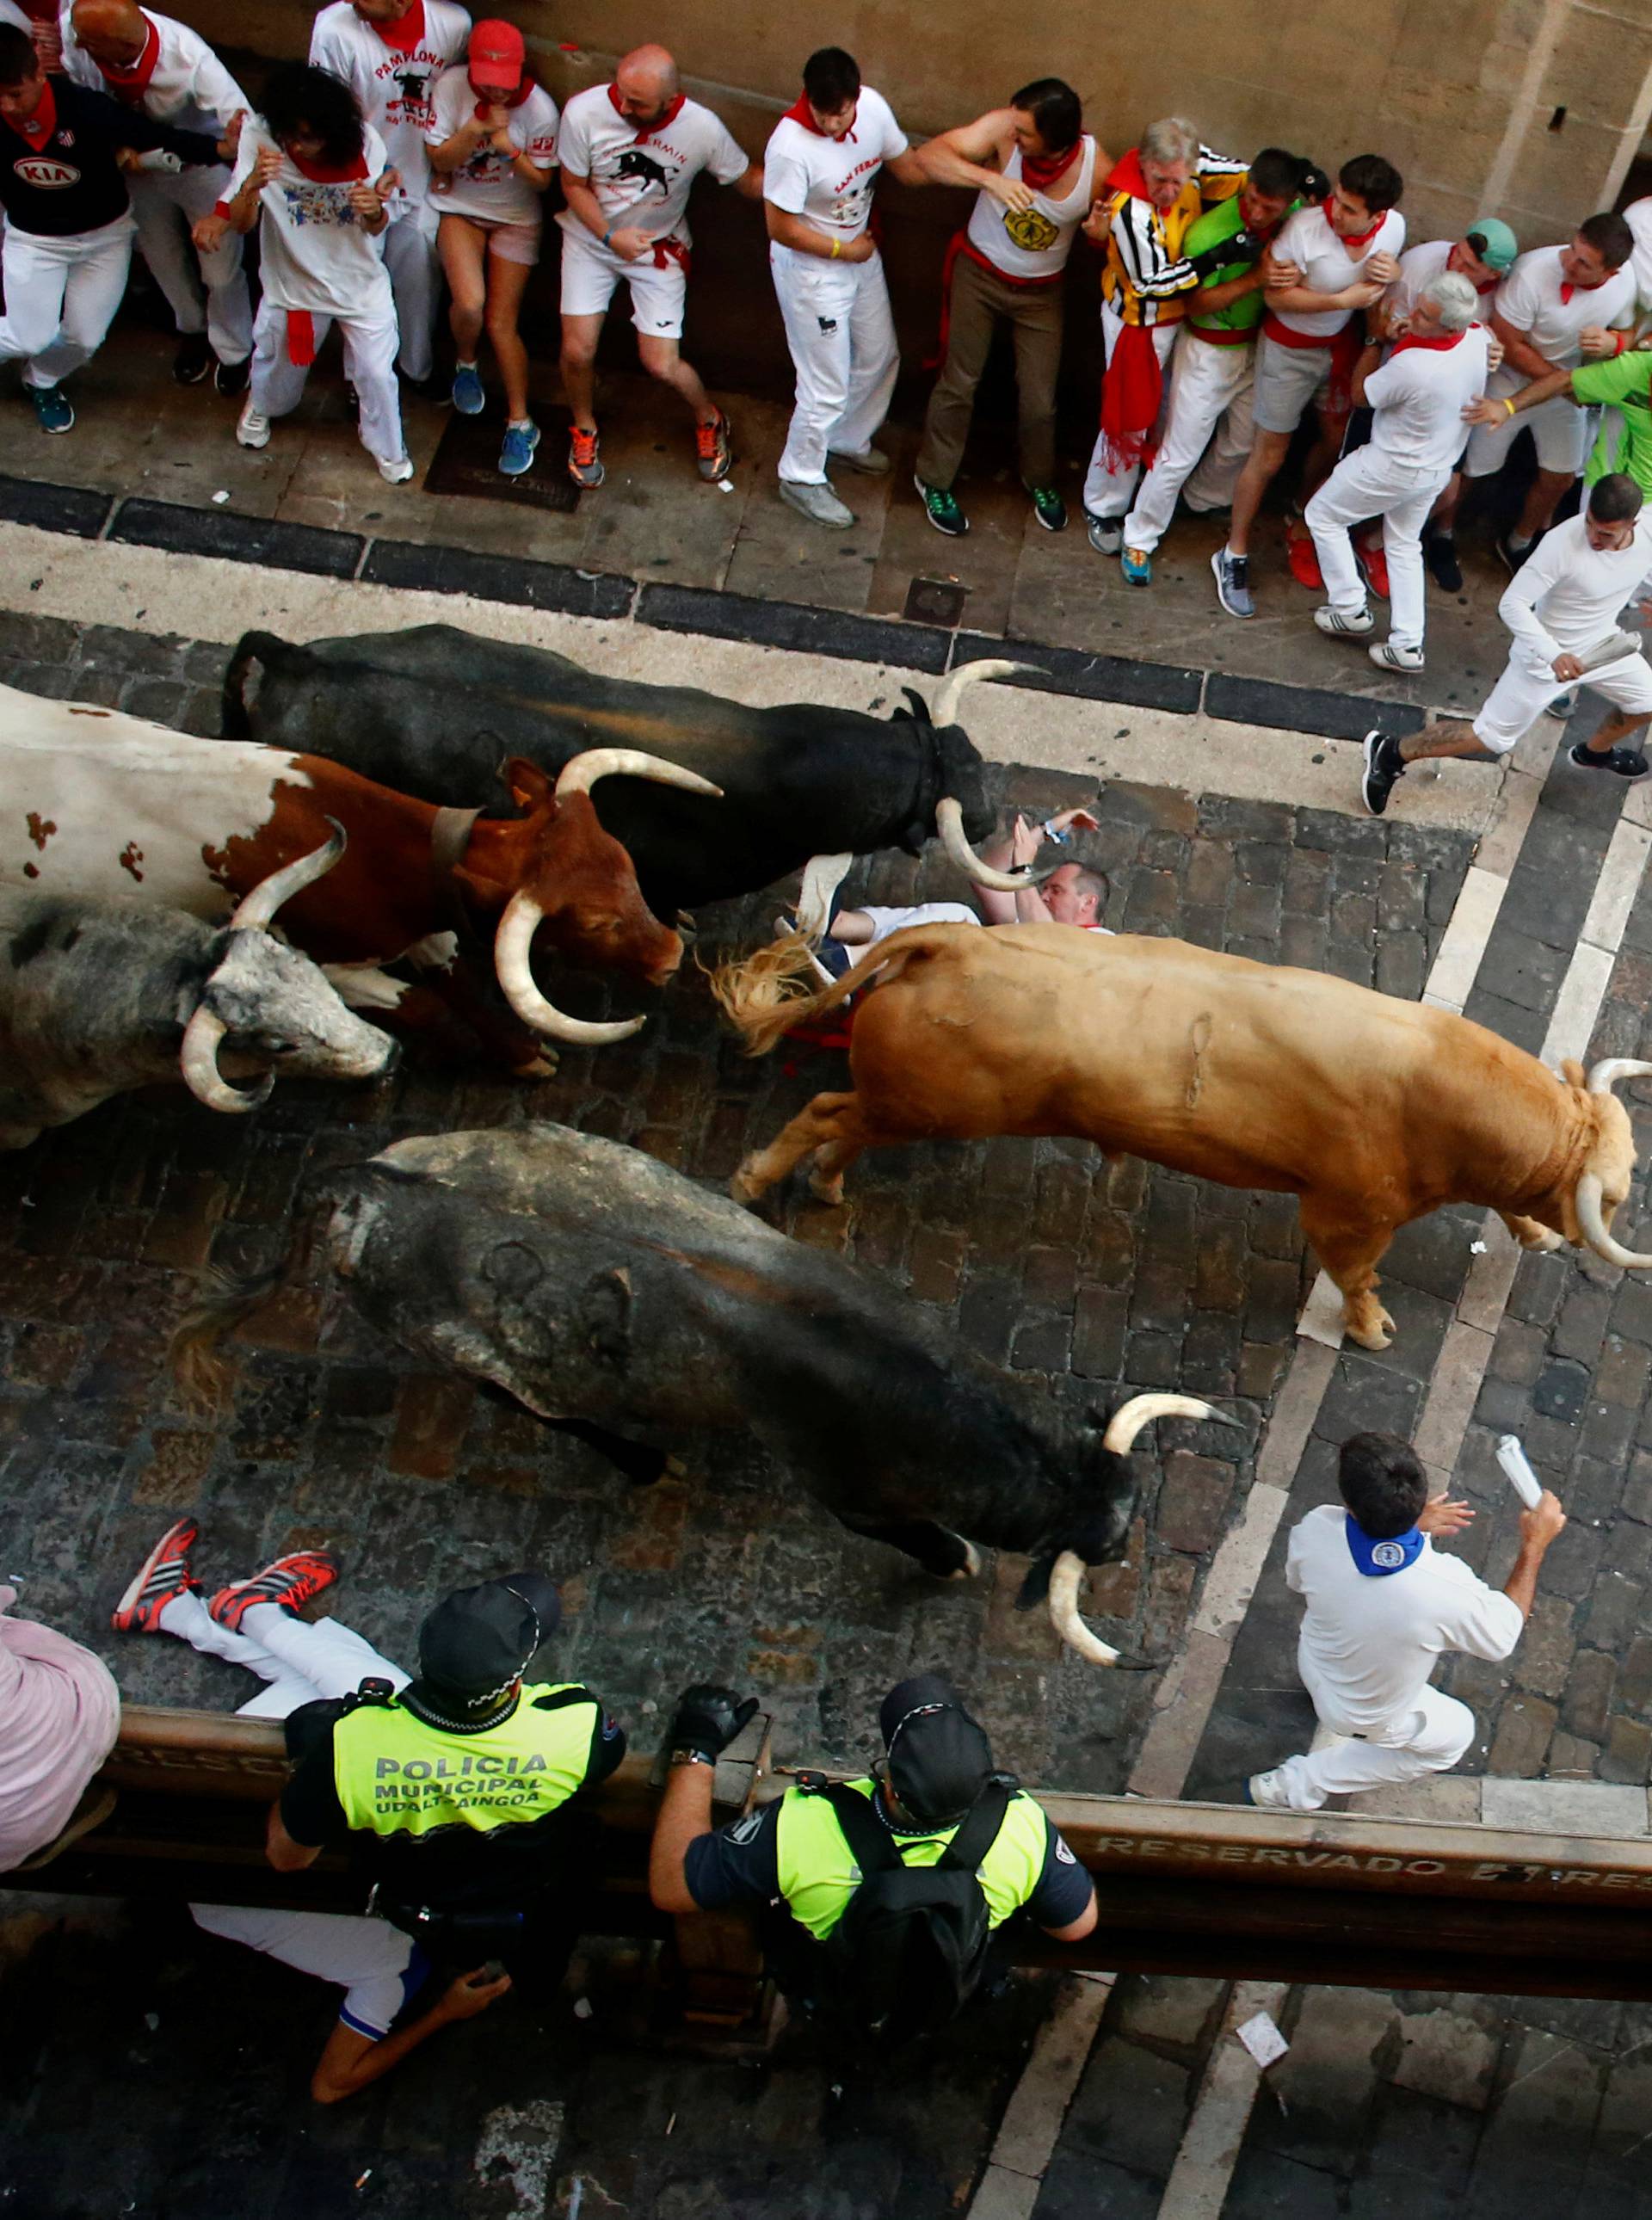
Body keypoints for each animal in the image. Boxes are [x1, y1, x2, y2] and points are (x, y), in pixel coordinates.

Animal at [3, 688, 719, 1078]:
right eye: (594, 923)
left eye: (627, 866)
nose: (671, 954)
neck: (374, 851)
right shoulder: (330, 967)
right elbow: (423, 1004)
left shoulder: (426, 927)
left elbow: (458, 980)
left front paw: (519, 1054)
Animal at [177, 1127, 1243, 1669]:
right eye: (1101, 1549)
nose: (1125, 1553)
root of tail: (358, 1186)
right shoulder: (851, 1495)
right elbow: (927, 1541)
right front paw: (959, 1562)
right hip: (480, 1363)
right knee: (540, 1407)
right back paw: (646, 1459)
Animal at [714, 923, 1652, 1349]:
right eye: (1612, 1195)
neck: (1432, 1086)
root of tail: (949, 940)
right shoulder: (1346, 1215)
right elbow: (1357, 1278)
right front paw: (1372, 1328)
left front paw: (1528, 1230)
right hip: (928, 1105)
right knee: (822, 1114)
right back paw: (753, 1182)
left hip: (911, 1104)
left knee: (847, 1127)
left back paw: (826, 1183)